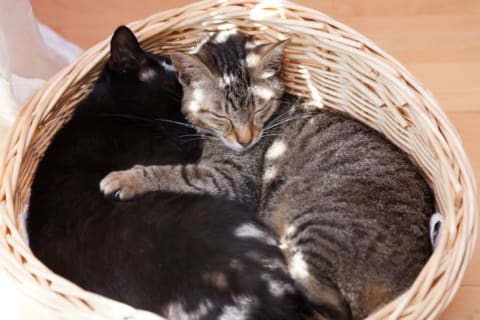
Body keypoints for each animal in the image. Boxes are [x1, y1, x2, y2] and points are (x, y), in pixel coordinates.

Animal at [101, 30, 436, 320]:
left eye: (258, 108)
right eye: (221, 114)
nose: (245, 139)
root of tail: (413, 274)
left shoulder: (231, 180)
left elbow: (177, 175)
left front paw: (126, 178)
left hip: (312, 224)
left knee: (334, 307)